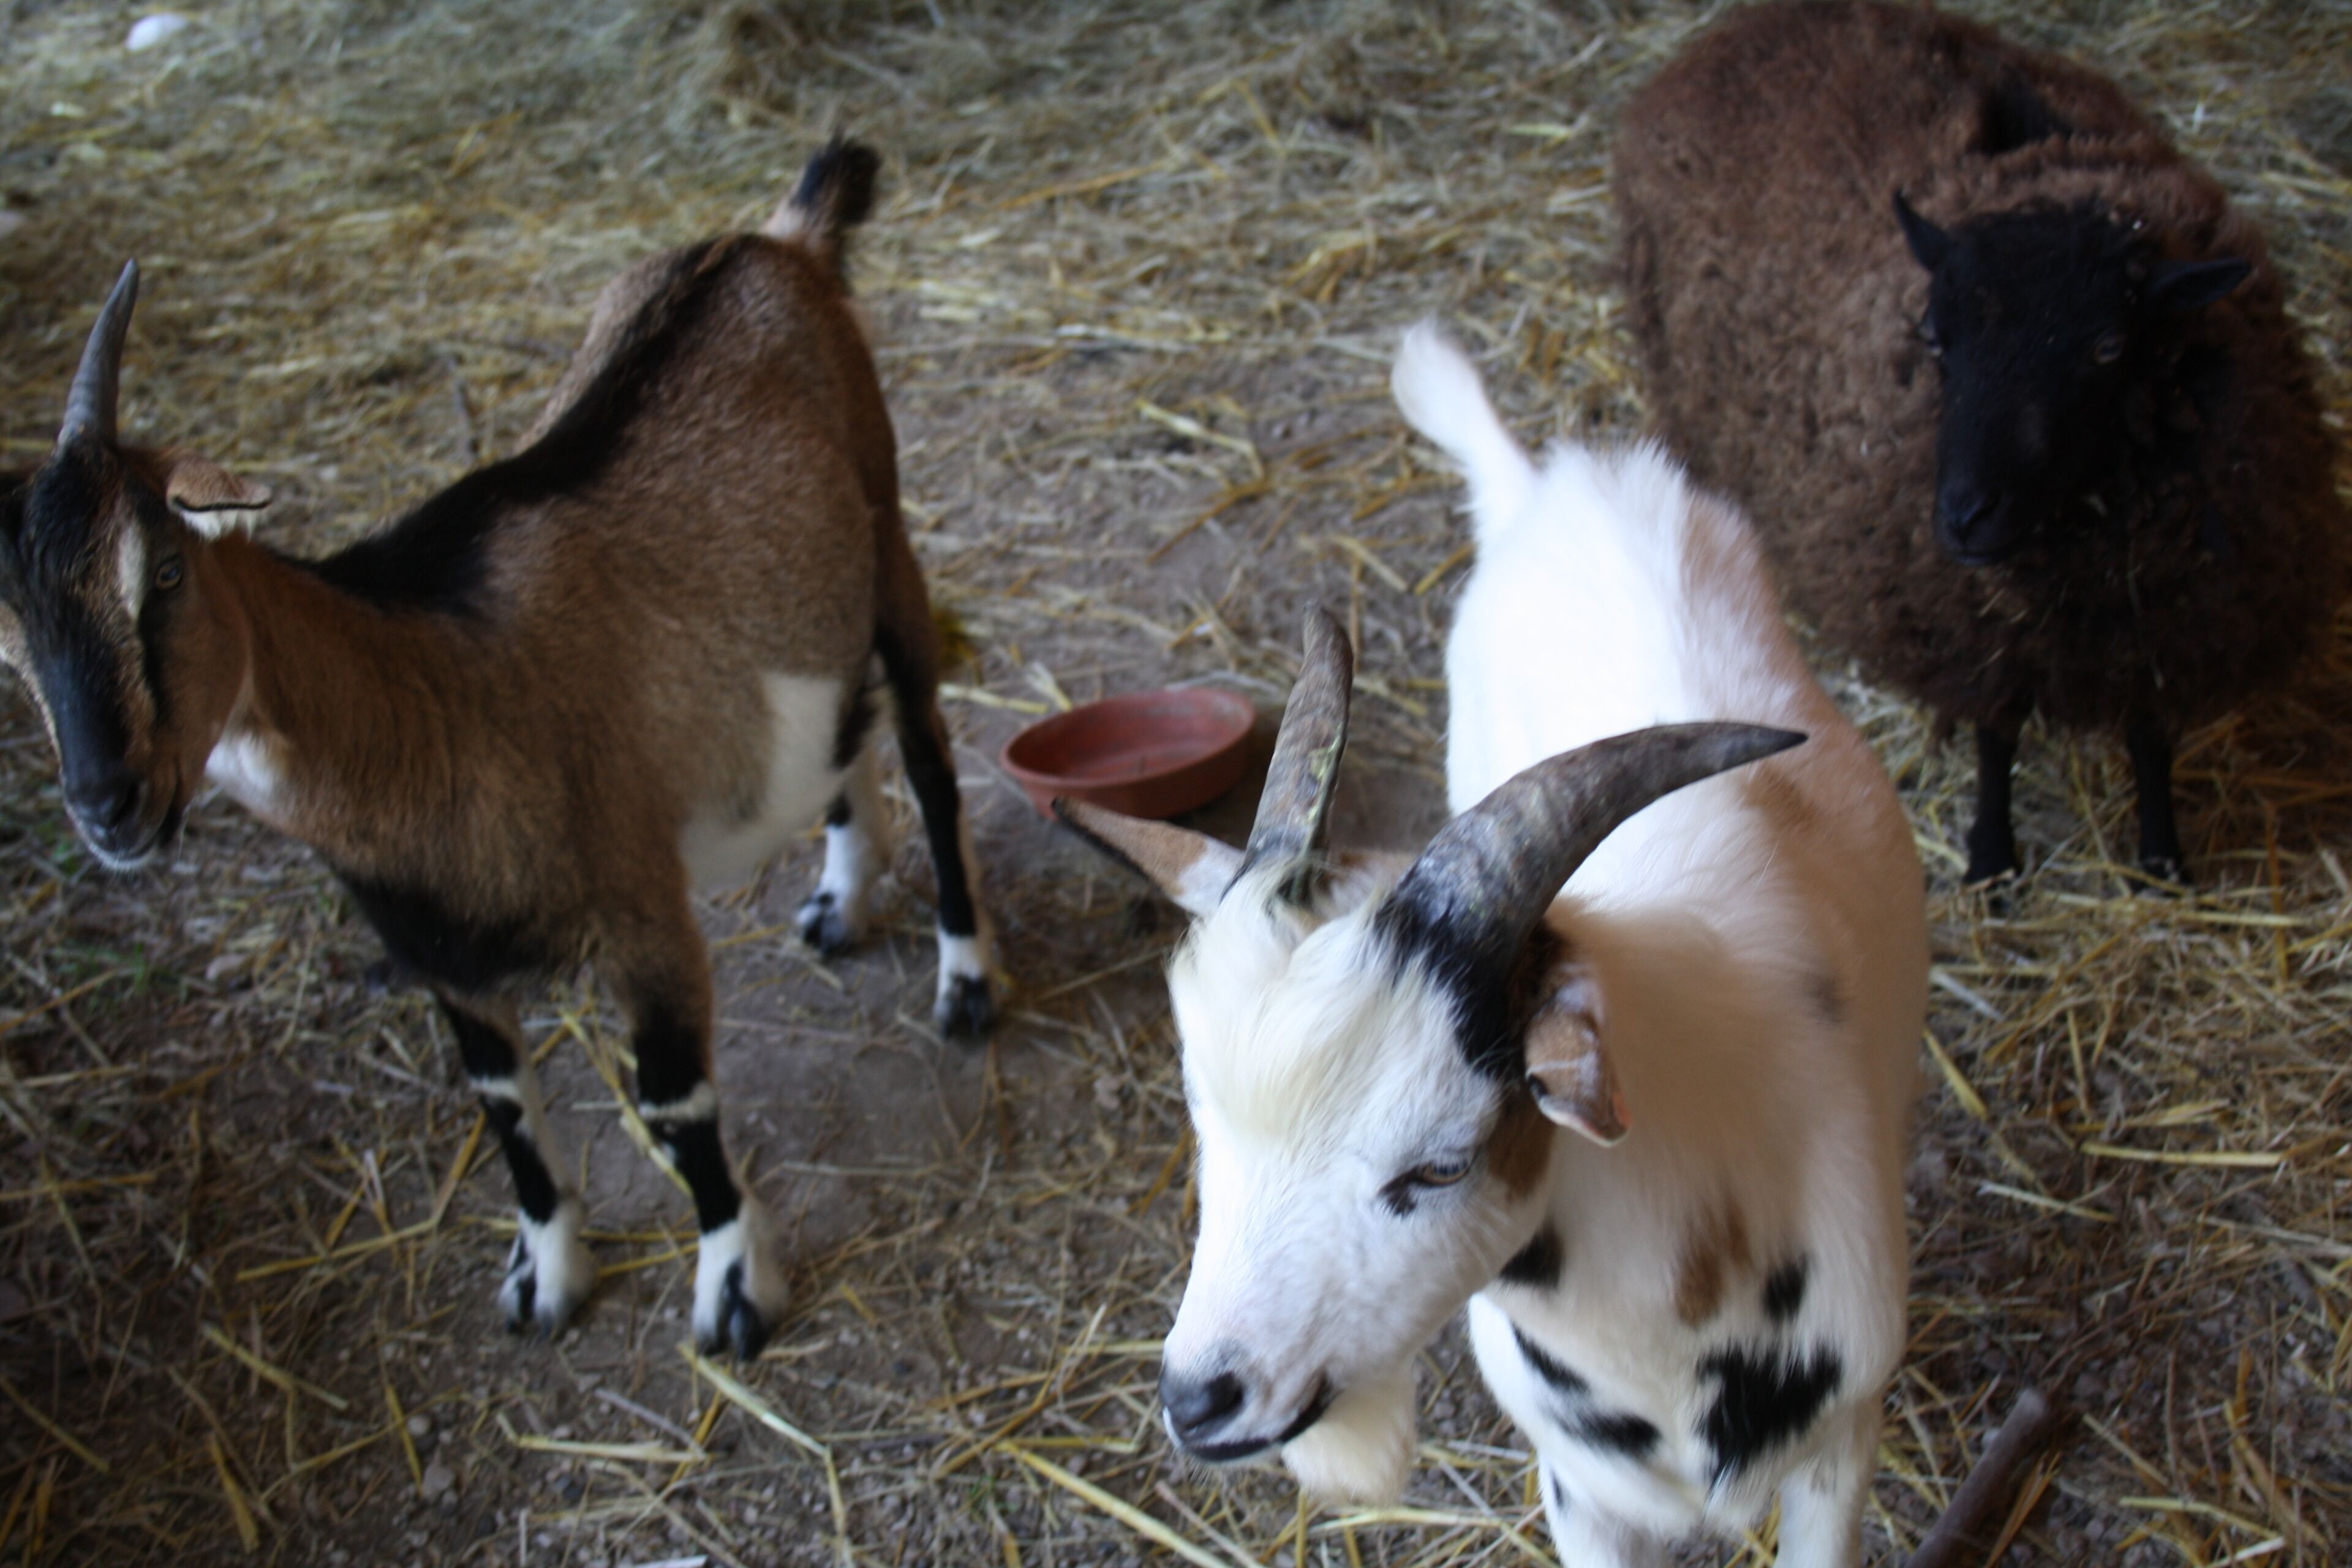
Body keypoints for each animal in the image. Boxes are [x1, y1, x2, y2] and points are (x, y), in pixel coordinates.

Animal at [0, 140, 997, 1358]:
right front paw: (546, 1276)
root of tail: (774, 238)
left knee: (934, 761)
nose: (110, 802)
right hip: (811, 596)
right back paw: (843, 900)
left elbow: (674, 1102)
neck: (429, 692)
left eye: (168, 573)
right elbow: (502, 1103)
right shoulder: (441, 955)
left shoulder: (641, 915)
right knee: (840, 724)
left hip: (890, 536)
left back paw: (964, 982)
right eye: (7, 635)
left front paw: (731, 1291)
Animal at [1056, 328, 1926, 1565]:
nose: (1200, 1398)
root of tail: (1544, 486)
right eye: (1202, 1116)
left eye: (1439, 1165)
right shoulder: (1582, 1489)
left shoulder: (1840, 1450)